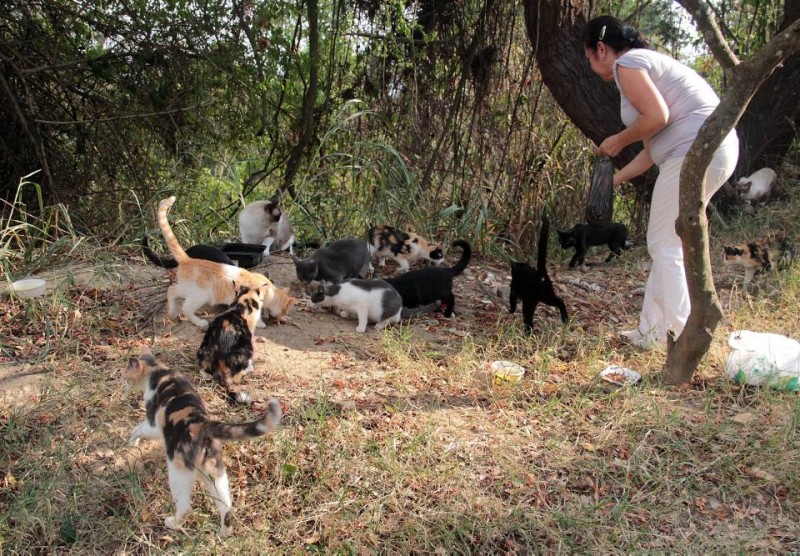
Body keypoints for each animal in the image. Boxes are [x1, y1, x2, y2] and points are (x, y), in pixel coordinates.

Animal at [124, 348, 282, 540]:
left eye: (126, 374)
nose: (123, 382)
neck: (159, 370)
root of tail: (201, 425)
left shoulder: (153, 425)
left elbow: (137, 429)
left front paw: (131, 444)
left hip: (178, 473)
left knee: (185, 507)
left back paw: (172, 523)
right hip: (216, 475)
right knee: (226, 509)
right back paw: (223, 533)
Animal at [155, 195, 296, 326]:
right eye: (285, 311)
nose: (280, 318)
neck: (269, 291)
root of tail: (187, 258)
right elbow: (255, 315)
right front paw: (260, 323)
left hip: (187, 290)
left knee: (171, 290)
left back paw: (172, 312)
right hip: (200, 295)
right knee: (186, 309)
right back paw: (199, 322)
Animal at [310, 280, 440, 332]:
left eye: (312, 298)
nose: (309, 303)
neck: (338, 291)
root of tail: (400, 308)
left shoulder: (362, 306)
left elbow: (363, 318)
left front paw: (361, 328)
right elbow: (348, 310)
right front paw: (344, 313)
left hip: (385, 312)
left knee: (390, 320)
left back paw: (379, 325)